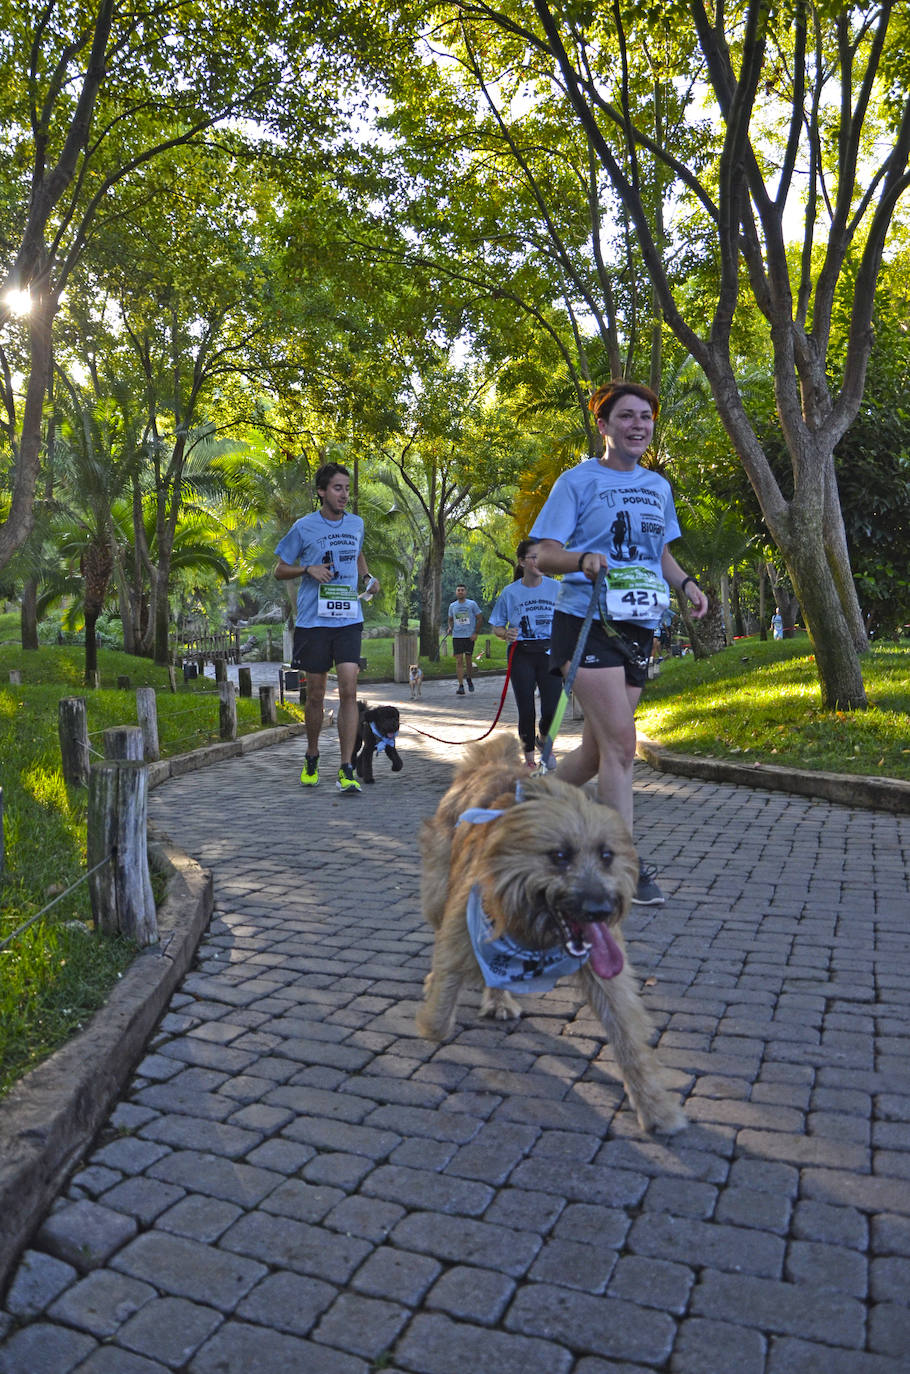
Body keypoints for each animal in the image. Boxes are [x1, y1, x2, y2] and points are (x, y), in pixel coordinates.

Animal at [417, 736, 687, 1132]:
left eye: (606, 855)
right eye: (560, 856)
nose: (601, 910)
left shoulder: (606, 971)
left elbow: (627, 1036)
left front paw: (655, 1107)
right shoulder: (464, 928)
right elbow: (438, 1017)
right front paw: (433, 1007)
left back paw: (498, 999)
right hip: (438, 893)